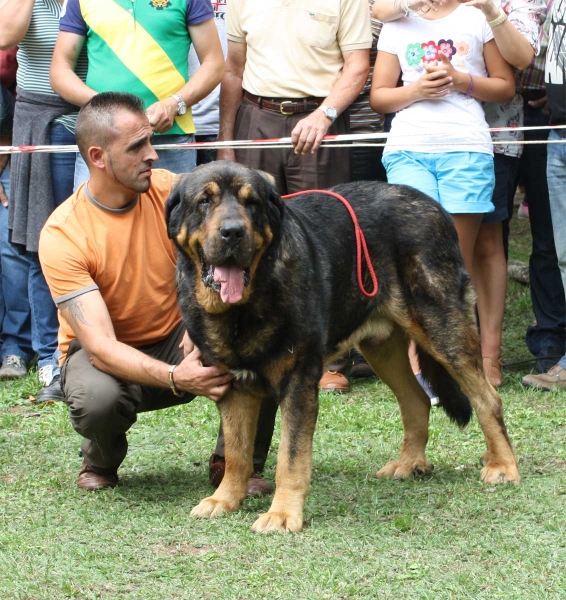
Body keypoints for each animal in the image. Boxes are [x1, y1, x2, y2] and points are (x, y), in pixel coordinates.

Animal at [166, 161, 520, 536]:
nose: (233, 232)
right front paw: (225, 499)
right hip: (382, 348)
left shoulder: (298, 384)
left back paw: (503, 466)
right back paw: (409, 463)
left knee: (487, 399)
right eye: (205, 201)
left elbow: (290, 457)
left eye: (252, 204)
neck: (244, 305)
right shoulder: (232, 386)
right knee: (417, 400)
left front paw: (283, 513)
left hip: (443, 329)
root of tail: (434, 207)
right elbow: (236, 453)